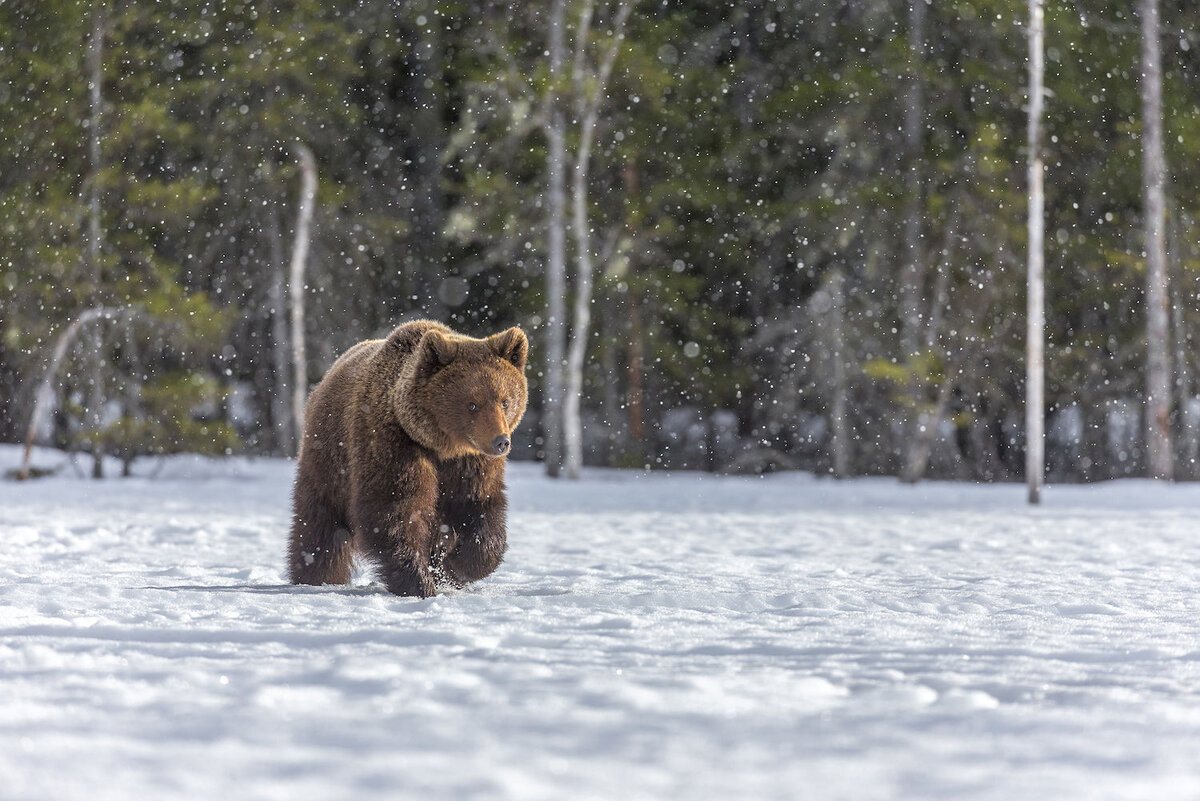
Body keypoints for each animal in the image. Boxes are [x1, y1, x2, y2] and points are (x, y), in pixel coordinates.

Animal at [288, 318, 528, 594]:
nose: (501, 442)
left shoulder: (471, 462)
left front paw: (452, 567)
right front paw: (418, 581)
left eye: (505, 401)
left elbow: (480, 505)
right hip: (330, 457)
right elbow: (395, 507)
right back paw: (314, 576)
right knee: (320, 524)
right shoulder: (393, 441)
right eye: (472, 404)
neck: (441, 445)